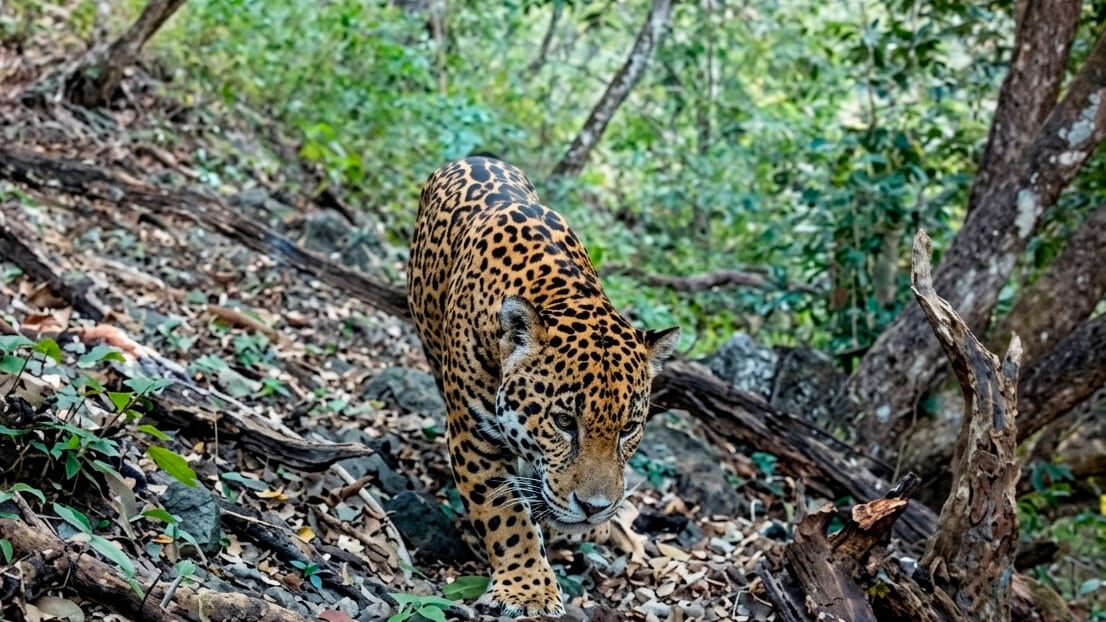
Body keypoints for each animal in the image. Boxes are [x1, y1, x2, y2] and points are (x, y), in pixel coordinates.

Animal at [406, 156, 680, 617]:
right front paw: (529, 590)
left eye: (627, 429)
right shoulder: (473, 435)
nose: (593, 509)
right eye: (564, 422)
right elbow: (505, 515)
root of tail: (477, 156)